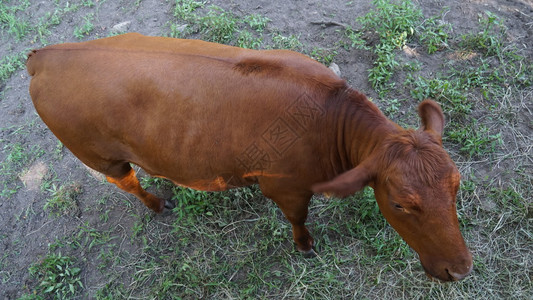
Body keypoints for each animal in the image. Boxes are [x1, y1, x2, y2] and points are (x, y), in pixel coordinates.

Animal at [27, 32, 472, 282]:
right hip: (101, 157)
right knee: (126, 181)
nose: (461, 270)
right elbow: (298, 218)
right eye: (399, 204)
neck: (330, 119)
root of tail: (43, 55)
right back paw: (156, 204)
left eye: (456, 186)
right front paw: (305, 245)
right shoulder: (287, 187)